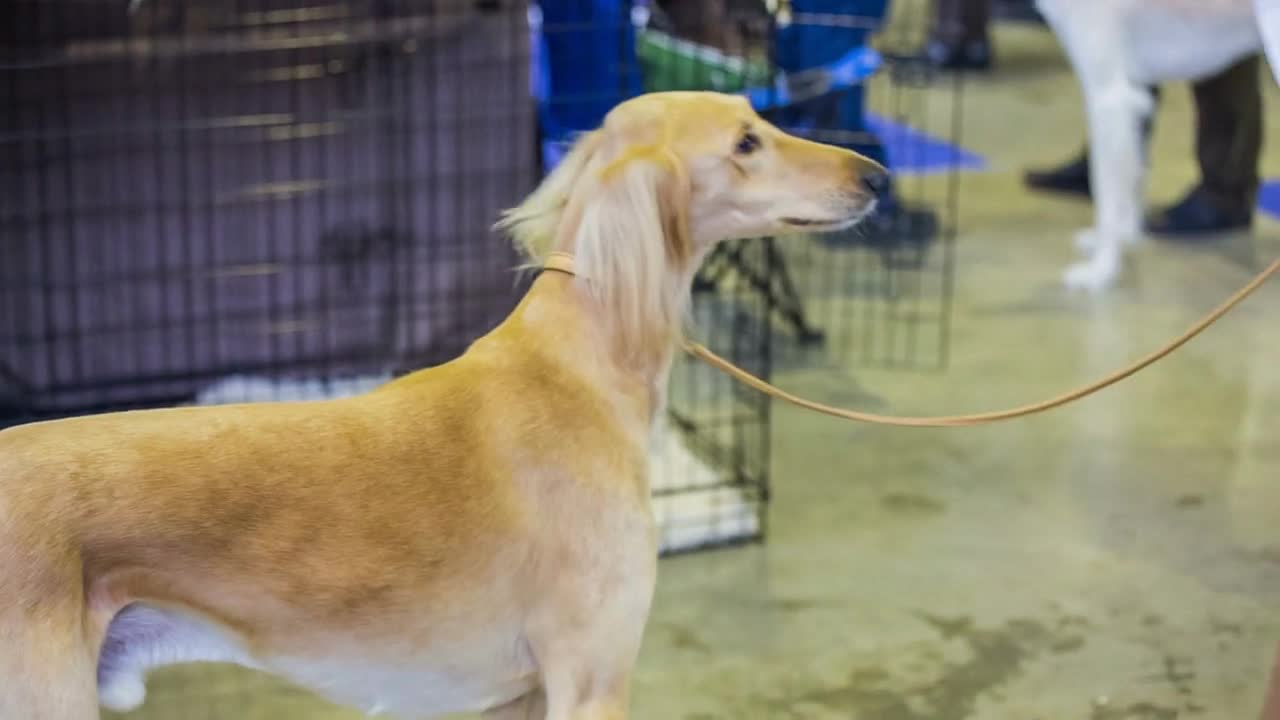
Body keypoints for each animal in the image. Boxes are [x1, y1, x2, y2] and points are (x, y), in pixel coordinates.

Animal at [1034, 1, 1274, 292]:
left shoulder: (1108, 97)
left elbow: (1104, 190)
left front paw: (1100, 272)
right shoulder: (1135, 95)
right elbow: (1134, 176)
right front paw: (1126, 235)